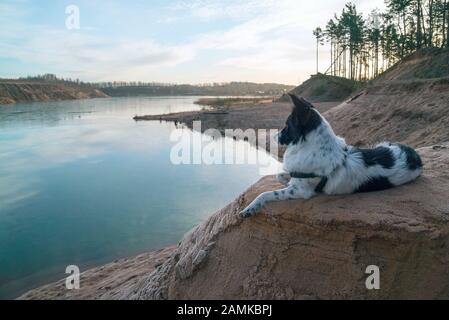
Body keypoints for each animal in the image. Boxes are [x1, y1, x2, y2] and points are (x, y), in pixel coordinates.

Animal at [240, 92, 422, 218]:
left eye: (287, 125)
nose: (274, 137)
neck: (312, 147)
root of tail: (415, 158)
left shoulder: (300, 191)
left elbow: (265, 194)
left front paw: (250, 208)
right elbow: (280, 175)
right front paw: (284, 179)